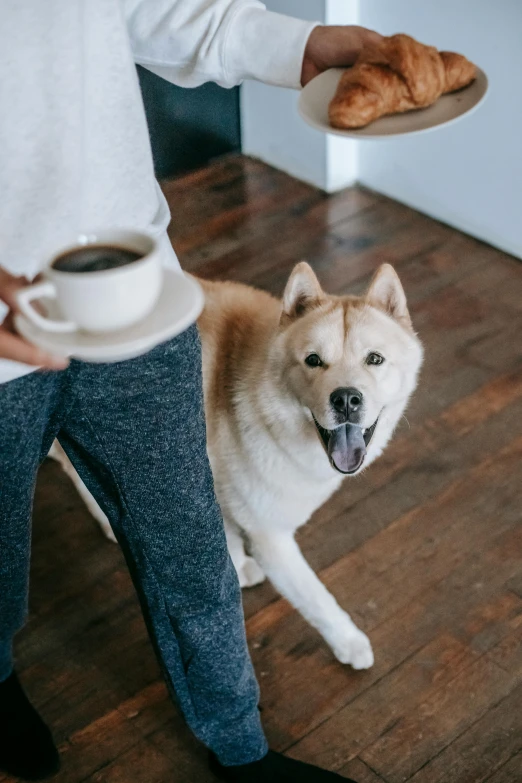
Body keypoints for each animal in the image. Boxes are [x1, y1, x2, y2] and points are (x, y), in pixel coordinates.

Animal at [49, 262, 422, 668]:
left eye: (375, 359)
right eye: (313, 360)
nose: (346, 400)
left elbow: (225, 529)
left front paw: (237, 562)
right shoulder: (269, 536)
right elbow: (316, 598)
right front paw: (348, 641)